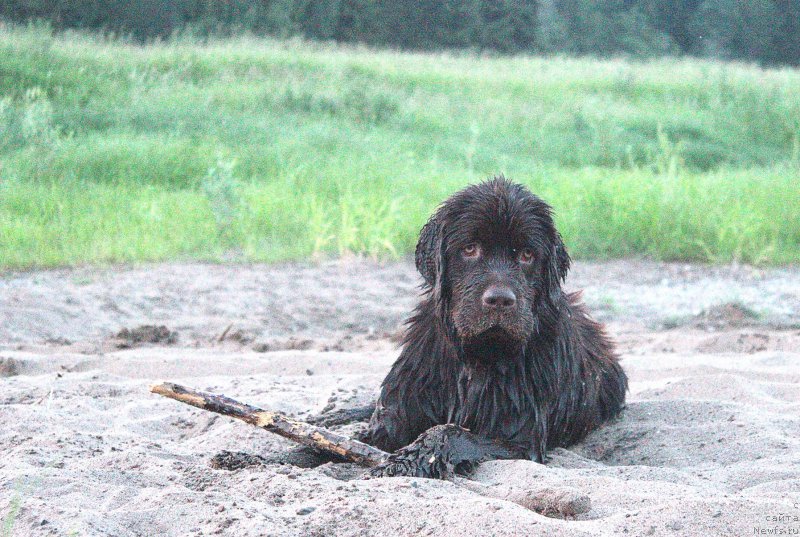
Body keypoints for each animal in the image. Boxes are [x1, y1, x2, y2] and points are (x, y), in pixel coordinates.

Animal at [364, 176, 632, 478]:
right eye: (470, 249)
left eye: (527, 254)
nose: (501, 300)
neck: (475, 358)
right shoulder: (393, 415)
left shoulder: (518, 439)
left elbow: (450, 432)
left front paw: (405, 462)